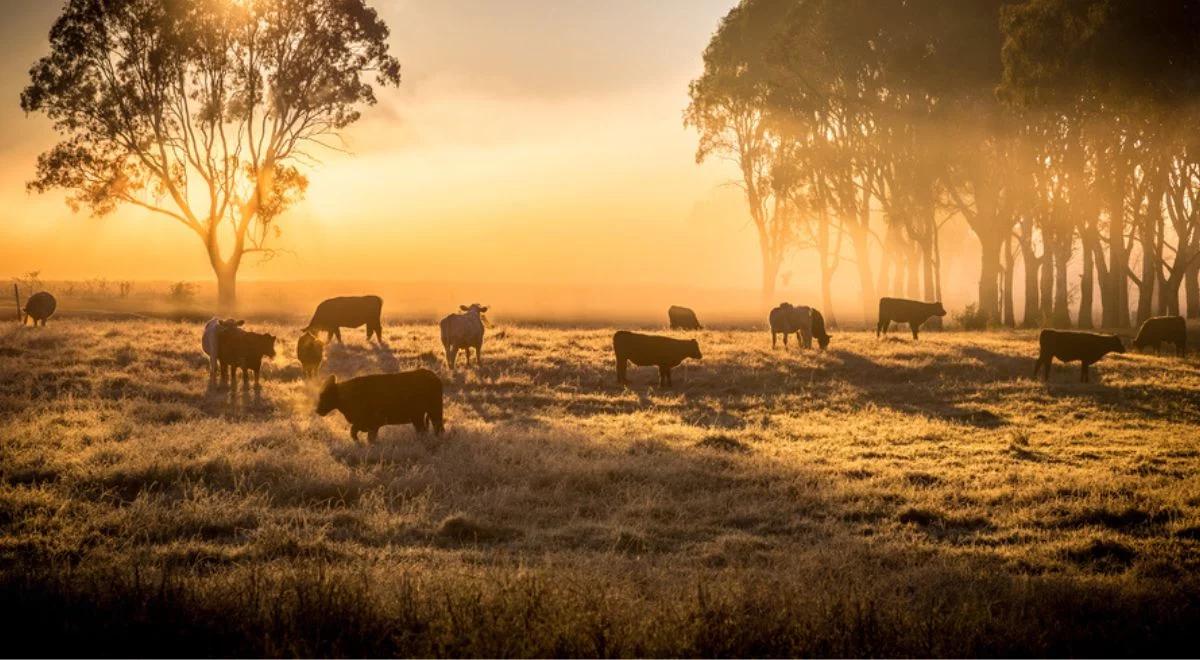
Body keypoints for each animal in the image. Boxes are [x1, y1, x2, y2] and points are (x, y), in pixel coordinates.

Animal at [316, 369, 448, 441]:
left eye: (325, 395)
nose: (317, 410)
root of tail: (434, 377)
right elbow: (355, 433)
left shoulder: (373, 423)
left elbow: (364, 436)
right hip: (418, 417)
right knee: (423, 431)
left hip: (435, 412)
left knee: (438, 428)